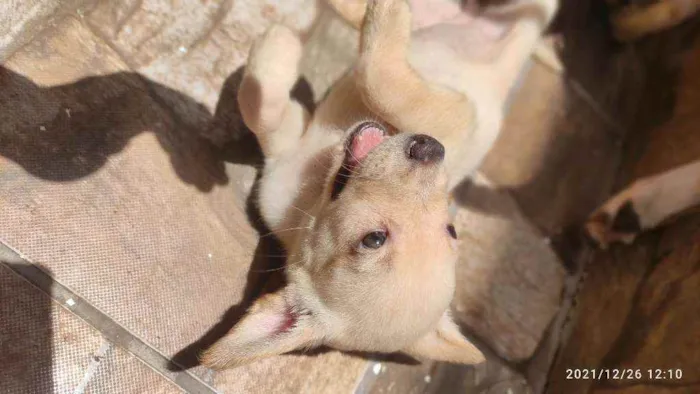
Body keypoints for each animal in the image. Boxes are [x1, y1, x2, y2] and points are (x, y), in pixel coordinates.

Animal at [201, 0, 556, 370]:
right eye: (452, 230)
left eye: (372, 239)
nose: (429, 149)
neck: (315, 184)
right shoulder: (283, 160)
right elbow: (260, 108)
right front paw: (276, 51)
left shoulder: (458, 112)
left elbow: (381, 82)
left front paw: (285, 41)